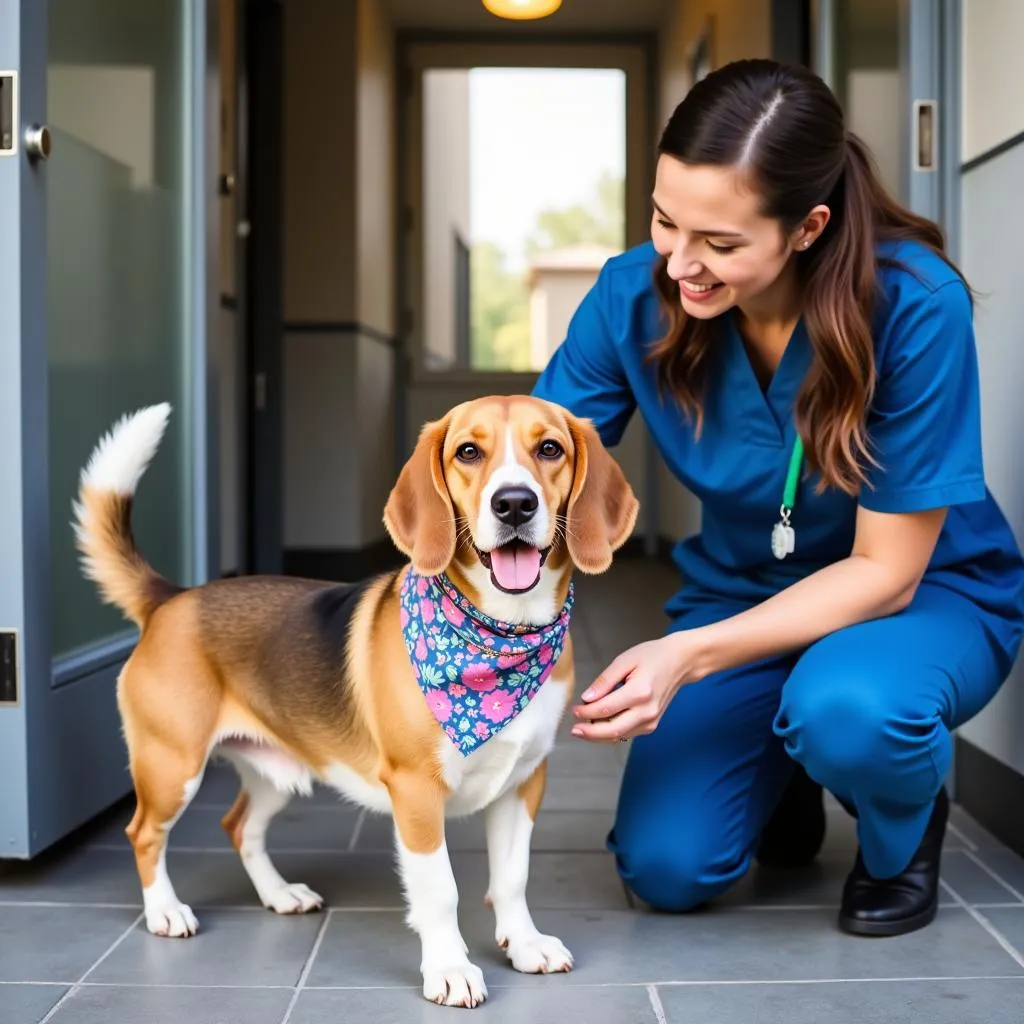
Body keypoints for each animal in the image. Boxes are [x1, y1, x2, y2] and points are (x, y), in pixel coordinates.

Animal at [72, 393, 634, 1007]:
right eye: (468, 451)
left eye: (550, 448)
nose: (514, 504)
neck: (503, 632)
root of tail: (171, 599)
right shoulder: (416, 792)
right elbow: (440, 891)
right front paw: (449, 969)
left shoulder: (523, 782)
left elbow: (512, 877)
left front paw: (525, 944)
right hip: (172, 767)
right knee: (144, 833)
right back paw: (166, 911)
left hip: (277, 771)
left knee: (239, 825)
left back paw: (279, 894)